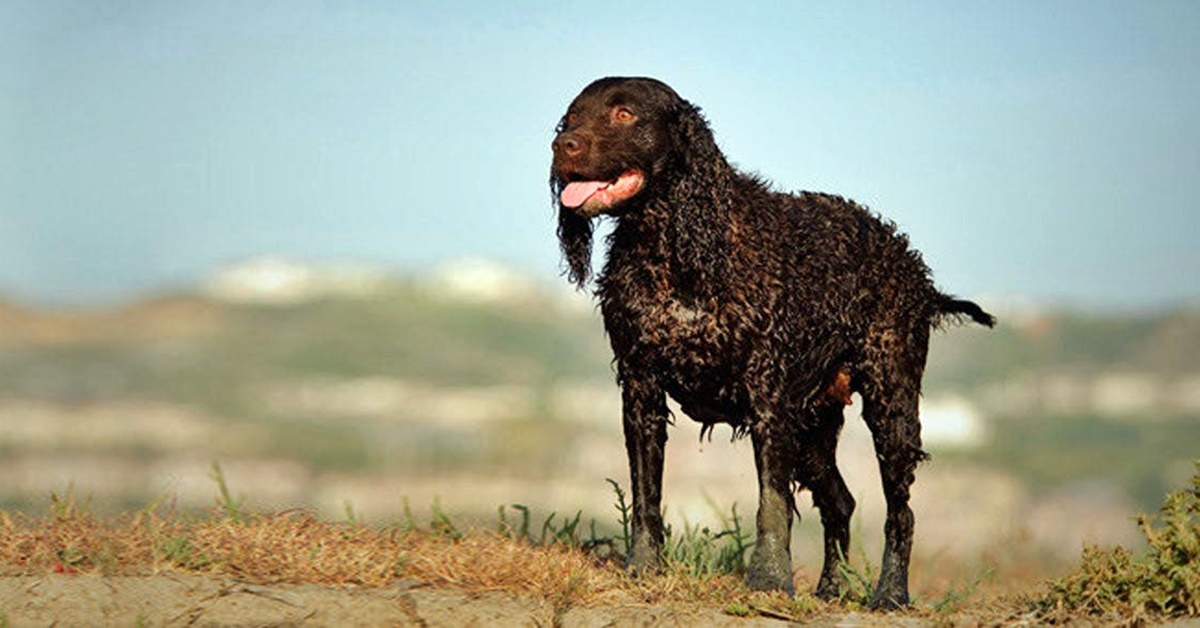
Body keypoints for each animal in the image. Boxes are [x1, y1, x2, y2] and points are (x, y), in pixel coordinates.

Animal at [549, 77, 988, 609]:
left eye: (624, 115)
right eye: (571, 117)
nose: (562, 146)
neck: (675, 249)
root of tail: (912, 265)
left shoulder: (769, 398)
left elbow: (772, 503)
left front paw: (769, 579)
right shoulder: (640, 389)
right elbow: (645, 493)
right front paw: (644, 566)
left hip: (891, 403)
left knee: (899, 512)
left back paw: (890, 593)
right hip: (815, 424)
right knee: (841, 503)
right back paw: (830, 590)